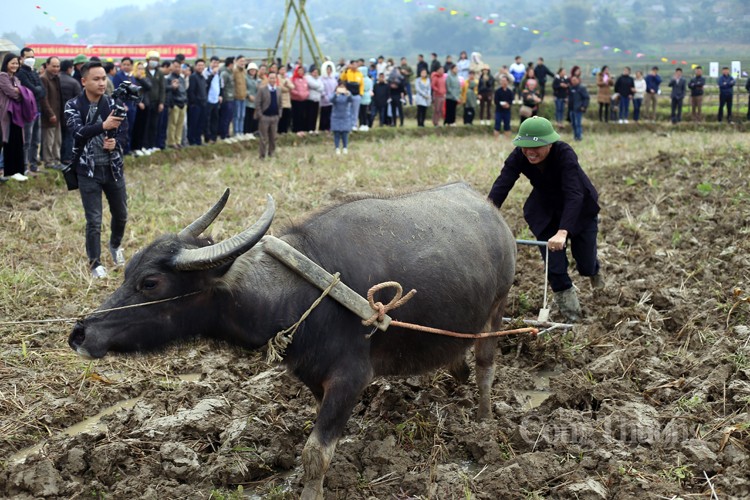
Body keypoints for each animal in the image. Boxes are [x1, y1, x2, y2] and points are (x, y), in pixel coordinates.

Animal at [69, 182, 516, 498]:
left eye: (150, 282)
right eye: (128, 270)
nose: (80, 333)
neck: (296, 294)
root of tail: (491, 213)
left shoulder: (350, 378)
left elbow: (314, 454)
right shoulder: (311, 376)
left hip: (496, 310)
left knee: (485, 366)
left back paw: (483, 419)